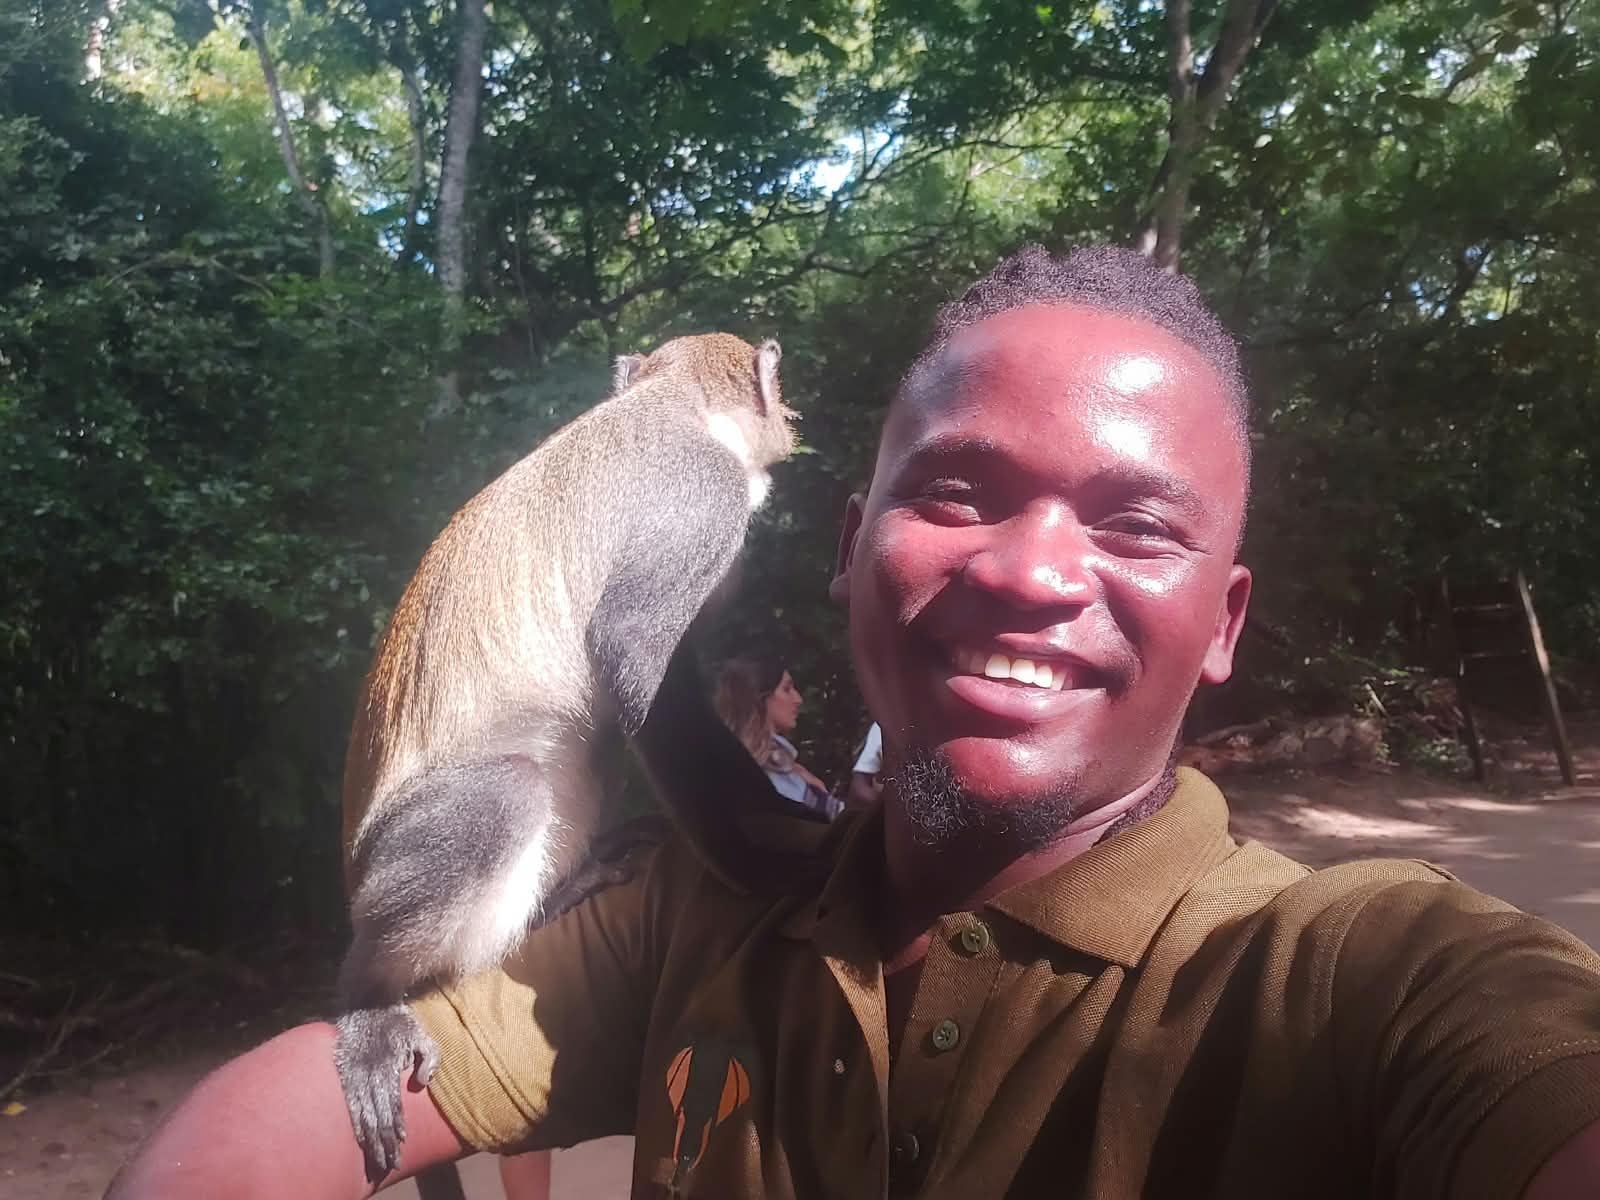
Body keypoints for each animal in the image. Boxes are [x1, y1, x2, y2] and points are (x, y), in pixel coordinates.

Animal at [333, 333, 825, 1179]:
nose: (792, 415)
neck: (674, 404)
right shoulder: (704, 497)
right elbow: (634, 655)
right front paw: (765, 857)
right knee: (507, 793)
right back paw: (366, 997)